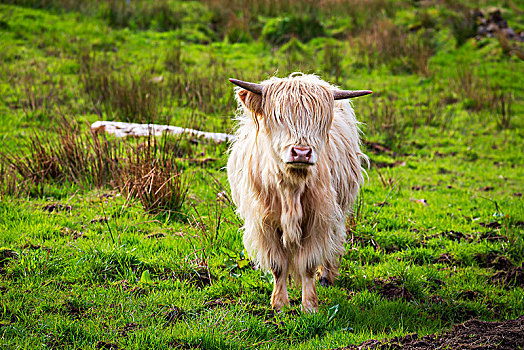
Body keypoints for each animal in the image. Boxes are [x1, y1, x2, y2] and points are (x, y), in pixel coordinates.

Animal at [227, 74, 370, 312]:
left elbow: (308, 264)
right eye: (278, 116)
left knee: (335, 241)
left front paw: (310, 306)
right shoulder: (265, 223)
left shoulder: (318, 220)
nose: (301, 152)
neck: (291, 189)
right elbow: (278, 265)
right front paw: (279, 305)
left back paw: (327, 276)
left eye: (319, 120)